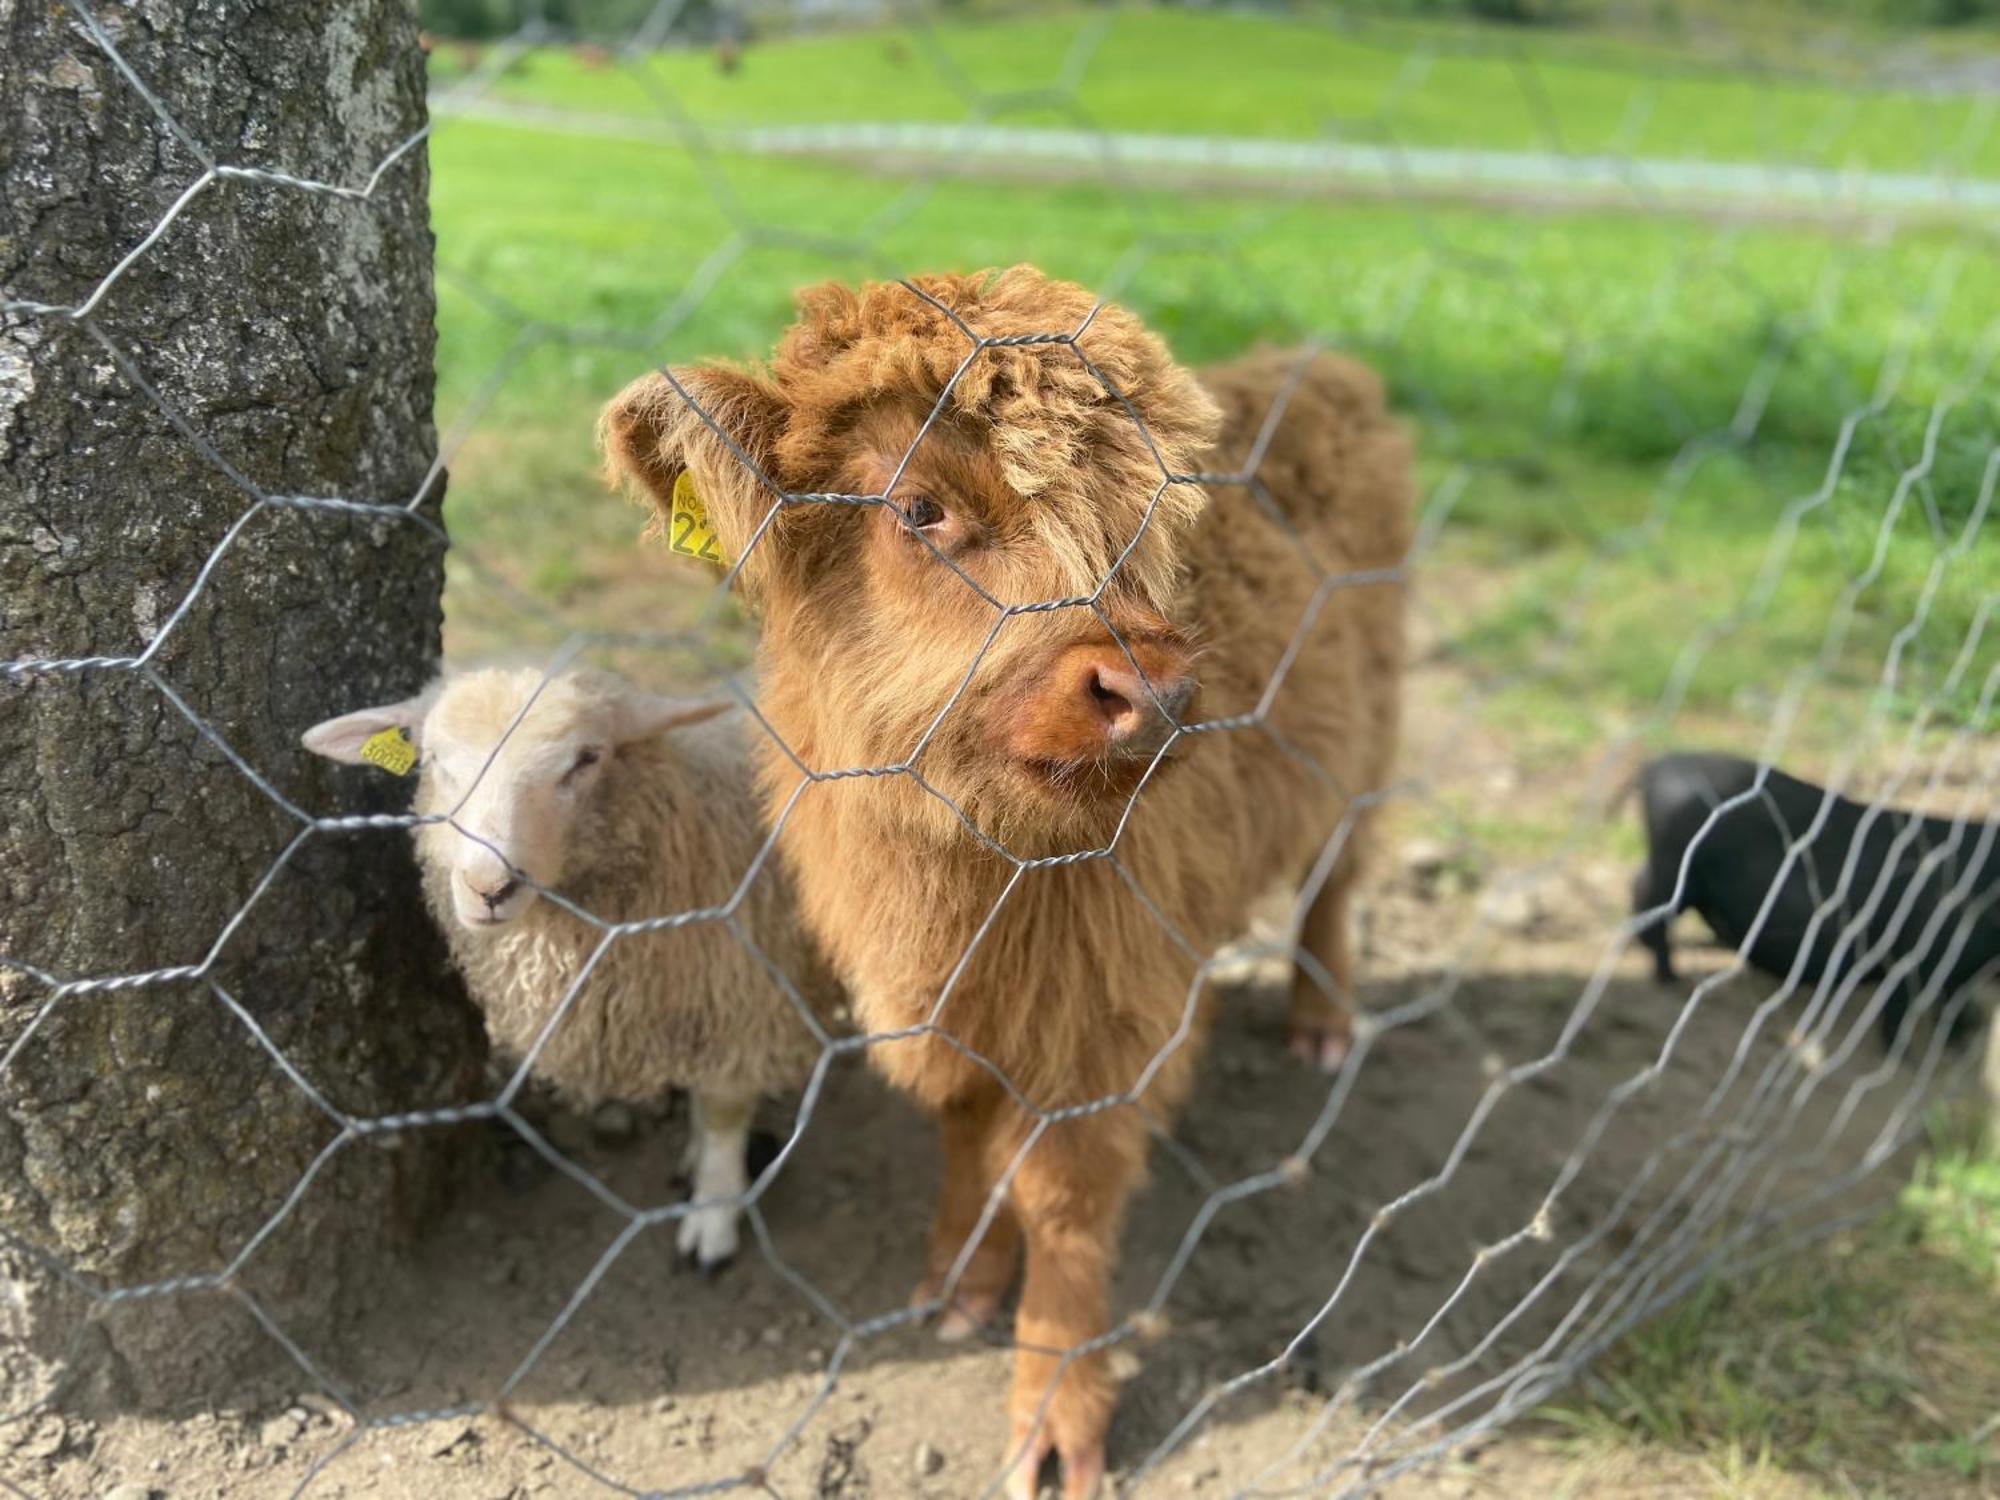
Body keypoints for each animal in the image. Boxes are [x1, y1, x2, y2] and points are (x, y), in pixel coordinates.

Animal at [304, 668, 844, 1272]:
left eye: (586, 759)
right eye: (435, 758)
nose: (489, 888)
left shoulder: (744, 995)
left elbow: (725, 1110)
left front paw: (713, 1215)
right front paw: (694, 1153)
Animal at [596, 264, 1408, 1496]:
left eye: (1151, 518)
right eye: (919, 509)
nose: (1155, 692)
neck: (969, 883)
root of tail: (1323, 365)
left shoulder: (1101, 1025)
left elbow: (1065, 1201)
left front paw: (1055, 1417)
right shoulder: (943, 1001)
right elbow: (966, 1134)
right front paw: (957, 1282)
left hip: (1362, 748)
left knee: (1331, 880)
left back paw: (1320, 1020)